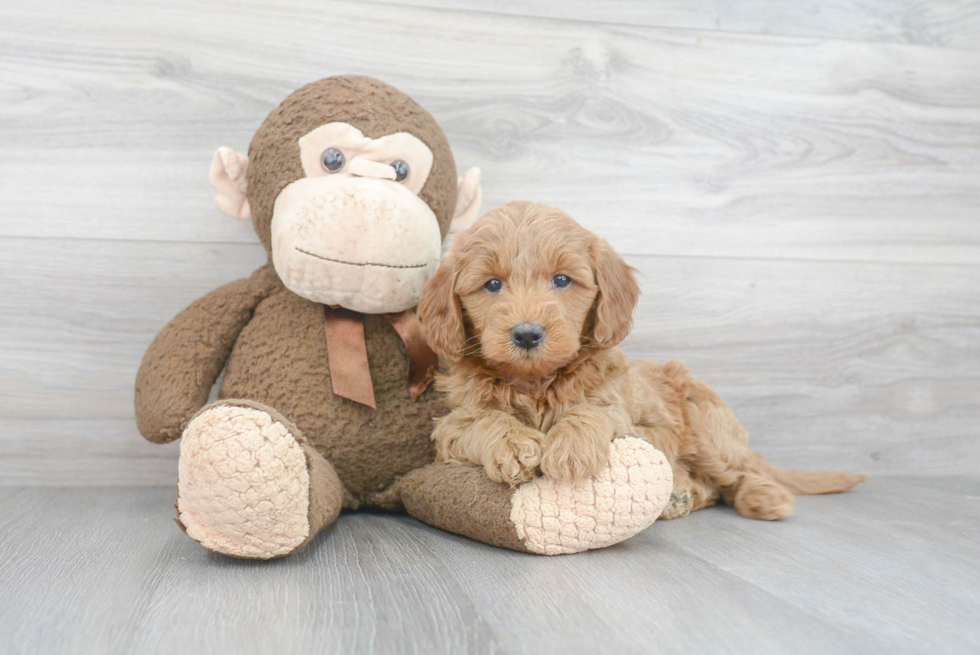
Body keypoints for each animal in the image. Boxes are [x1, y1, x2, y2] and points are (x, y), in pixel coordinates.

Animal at [418, 202, 860, 520]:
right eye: (492, 284)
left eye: (561, 280)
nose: (527, 334)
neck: (535, 382)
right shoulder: (450, 426)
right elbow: (483, 419)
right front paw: (512, 443)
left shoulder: (623, 415)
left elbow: (591, 411)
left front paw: (572, 447)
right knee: (711, 486)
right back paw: (680, 495)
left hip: (706, 423)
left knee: (737, 473)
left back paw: (764, 496)